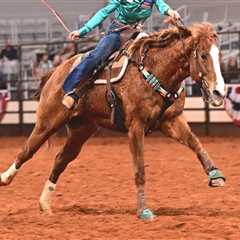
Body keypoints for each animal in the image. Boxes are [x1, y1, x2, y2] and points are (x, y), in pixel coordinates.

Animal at [0, 22, 226, 219]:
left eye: (219, 55)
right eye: (203, 55)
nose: (219, 92)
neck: (155, 69)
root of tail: (56, 73)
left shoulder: (172, 121)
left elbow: (196, 143)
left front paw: (215, 175)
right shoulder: (135, 127)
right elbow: (139, 169)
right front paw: (143, 211)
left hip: (81, 131)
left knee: (60, 159)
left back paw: (45, 203)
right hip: (48, 121)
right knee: (27, 151)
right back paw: (5, 178)